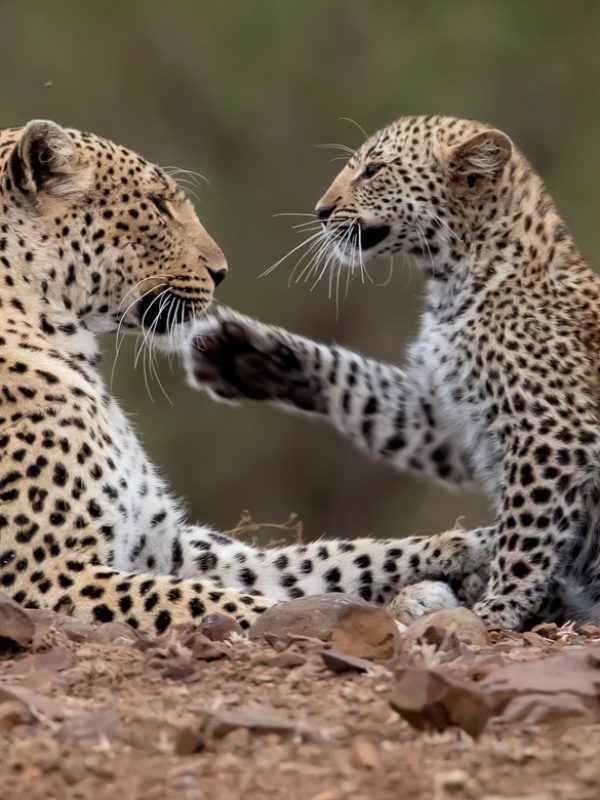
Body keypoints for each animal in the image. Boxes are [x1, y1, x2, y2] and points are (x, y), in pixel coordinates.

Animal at [0, 119, 489, 636]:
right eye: (157, 205)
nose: (220, 272)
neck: (68, 344)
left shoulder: (170, 547)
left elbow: (326, 559)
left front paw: (480, 547)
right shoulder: (44, 575)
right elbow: (220, 603)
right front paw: (389, 621)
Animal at [186, 113, 600, 632]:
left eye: (373, 171)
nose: (321, 211)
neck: (453, 282)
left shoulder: (551, 432)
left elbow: (525, 535)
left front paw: (497, 607)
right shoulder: (448, 419)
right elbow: (369, 394)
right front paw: (246, 355)